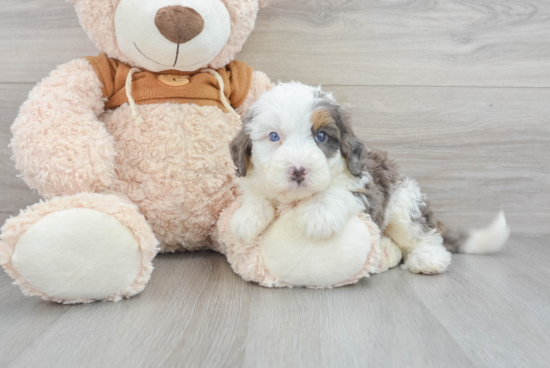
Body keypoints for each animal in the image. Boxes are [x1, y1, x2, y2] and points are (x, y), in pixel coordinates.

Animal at [230, 82, 512, 274]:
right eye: (273, 136)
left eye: (321, 136)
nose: (298, 170)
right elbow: (258, 195)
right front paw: (246, 218)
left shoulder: (368, 187)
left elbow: (339, 191)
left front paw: (317, 213)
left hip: (403, 204)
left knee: (425, 234)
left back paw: (428, 259)